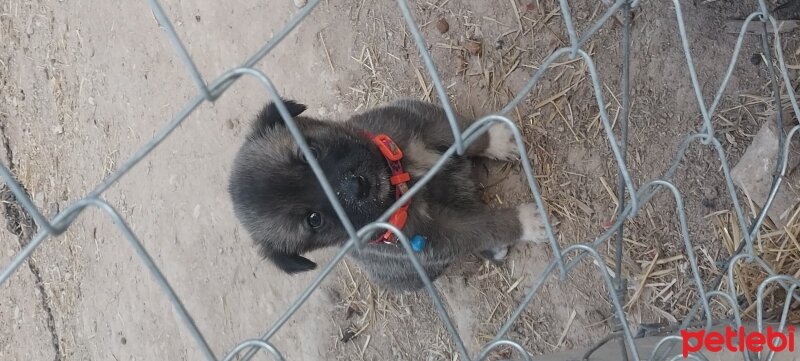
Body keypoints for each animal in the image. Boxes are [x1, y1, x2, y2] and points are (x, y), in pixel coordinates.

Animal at [227, 97, 552, 290]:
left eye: (311, 154)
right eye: (313, 220)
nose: (357, 186)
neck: (400, 178)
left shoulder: (421, 121)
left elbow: (463, 133)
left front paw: (496, 138)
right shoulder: (439, 233)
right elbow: (483, 227)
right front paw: (526, 222)